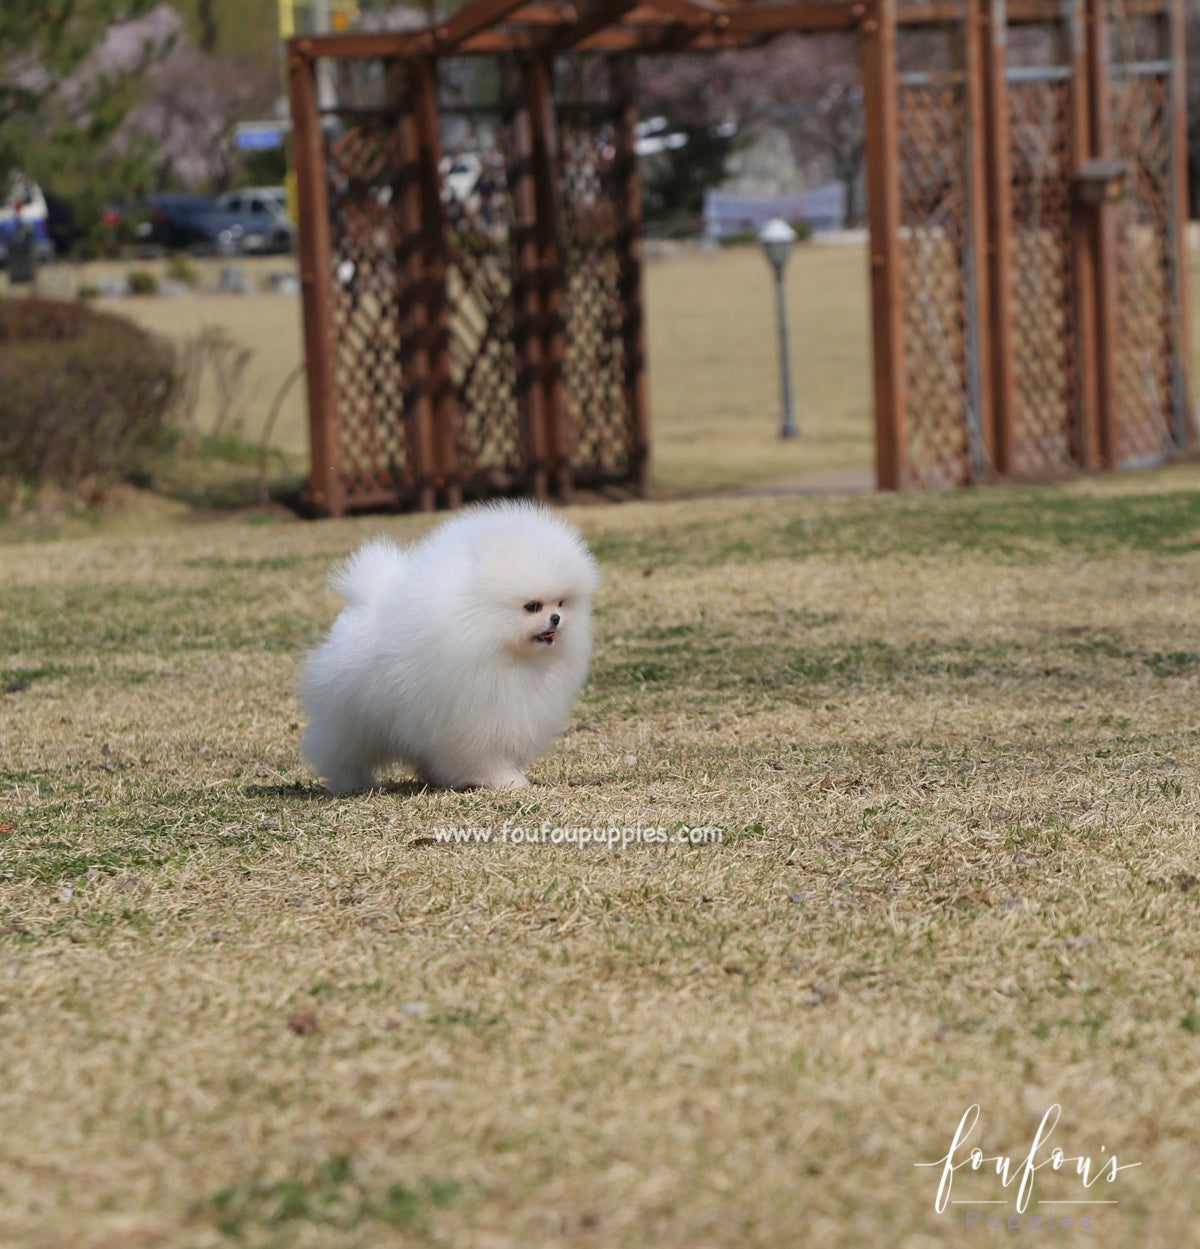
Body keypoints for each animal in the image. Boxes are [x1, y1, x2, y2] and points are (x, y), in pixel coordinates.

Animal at [299, 497, 599, 789]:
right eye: (533, 606)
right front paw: (507, 780)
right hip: (349, 721)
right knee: (343, 754)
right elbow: (488, 755)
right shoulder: (475, 715)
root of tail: (363, 601)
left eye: (561, 602)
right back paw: (350, 784)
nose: (556, 618)